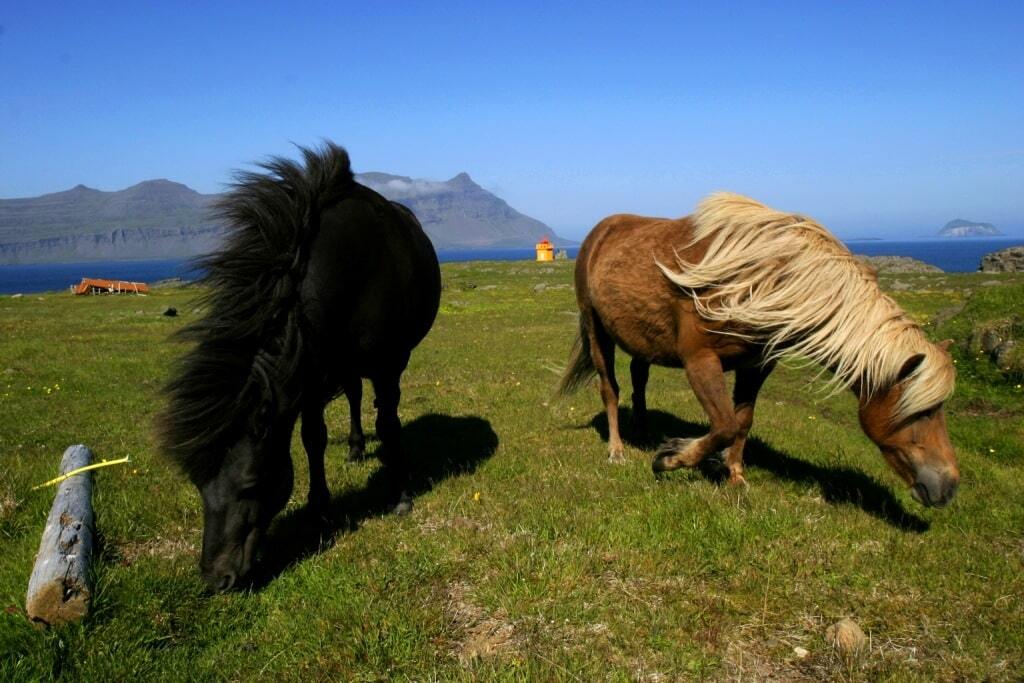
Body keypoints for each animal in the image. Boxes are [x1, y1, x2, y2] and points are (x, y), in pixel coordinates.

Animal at [156, 144, 440, 593]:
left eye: (251, 484)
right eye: (198, 485)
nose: (216, 578)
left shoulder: (388, 364)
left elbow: (389, 425)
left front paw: (400, 496)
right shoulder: (307, 371)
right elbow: (312, 438)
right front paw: (318, 506)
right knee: (354, 396)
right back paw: (355, 449)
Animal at [561, 192, 958, 507]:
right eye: (924, 412)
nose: (949, 487)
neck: (761, 280)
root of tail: (601, 231)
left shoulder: (756, 366)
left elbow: (741, 422)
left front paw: (734, 475)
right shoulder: (700, 361)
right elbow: (723, 425)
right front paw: (669, 459)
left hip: (640, 340)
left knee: (638, 381)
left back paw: (643, 432)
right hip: (597, 332)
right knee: (610, 389)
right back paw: (617, 449)